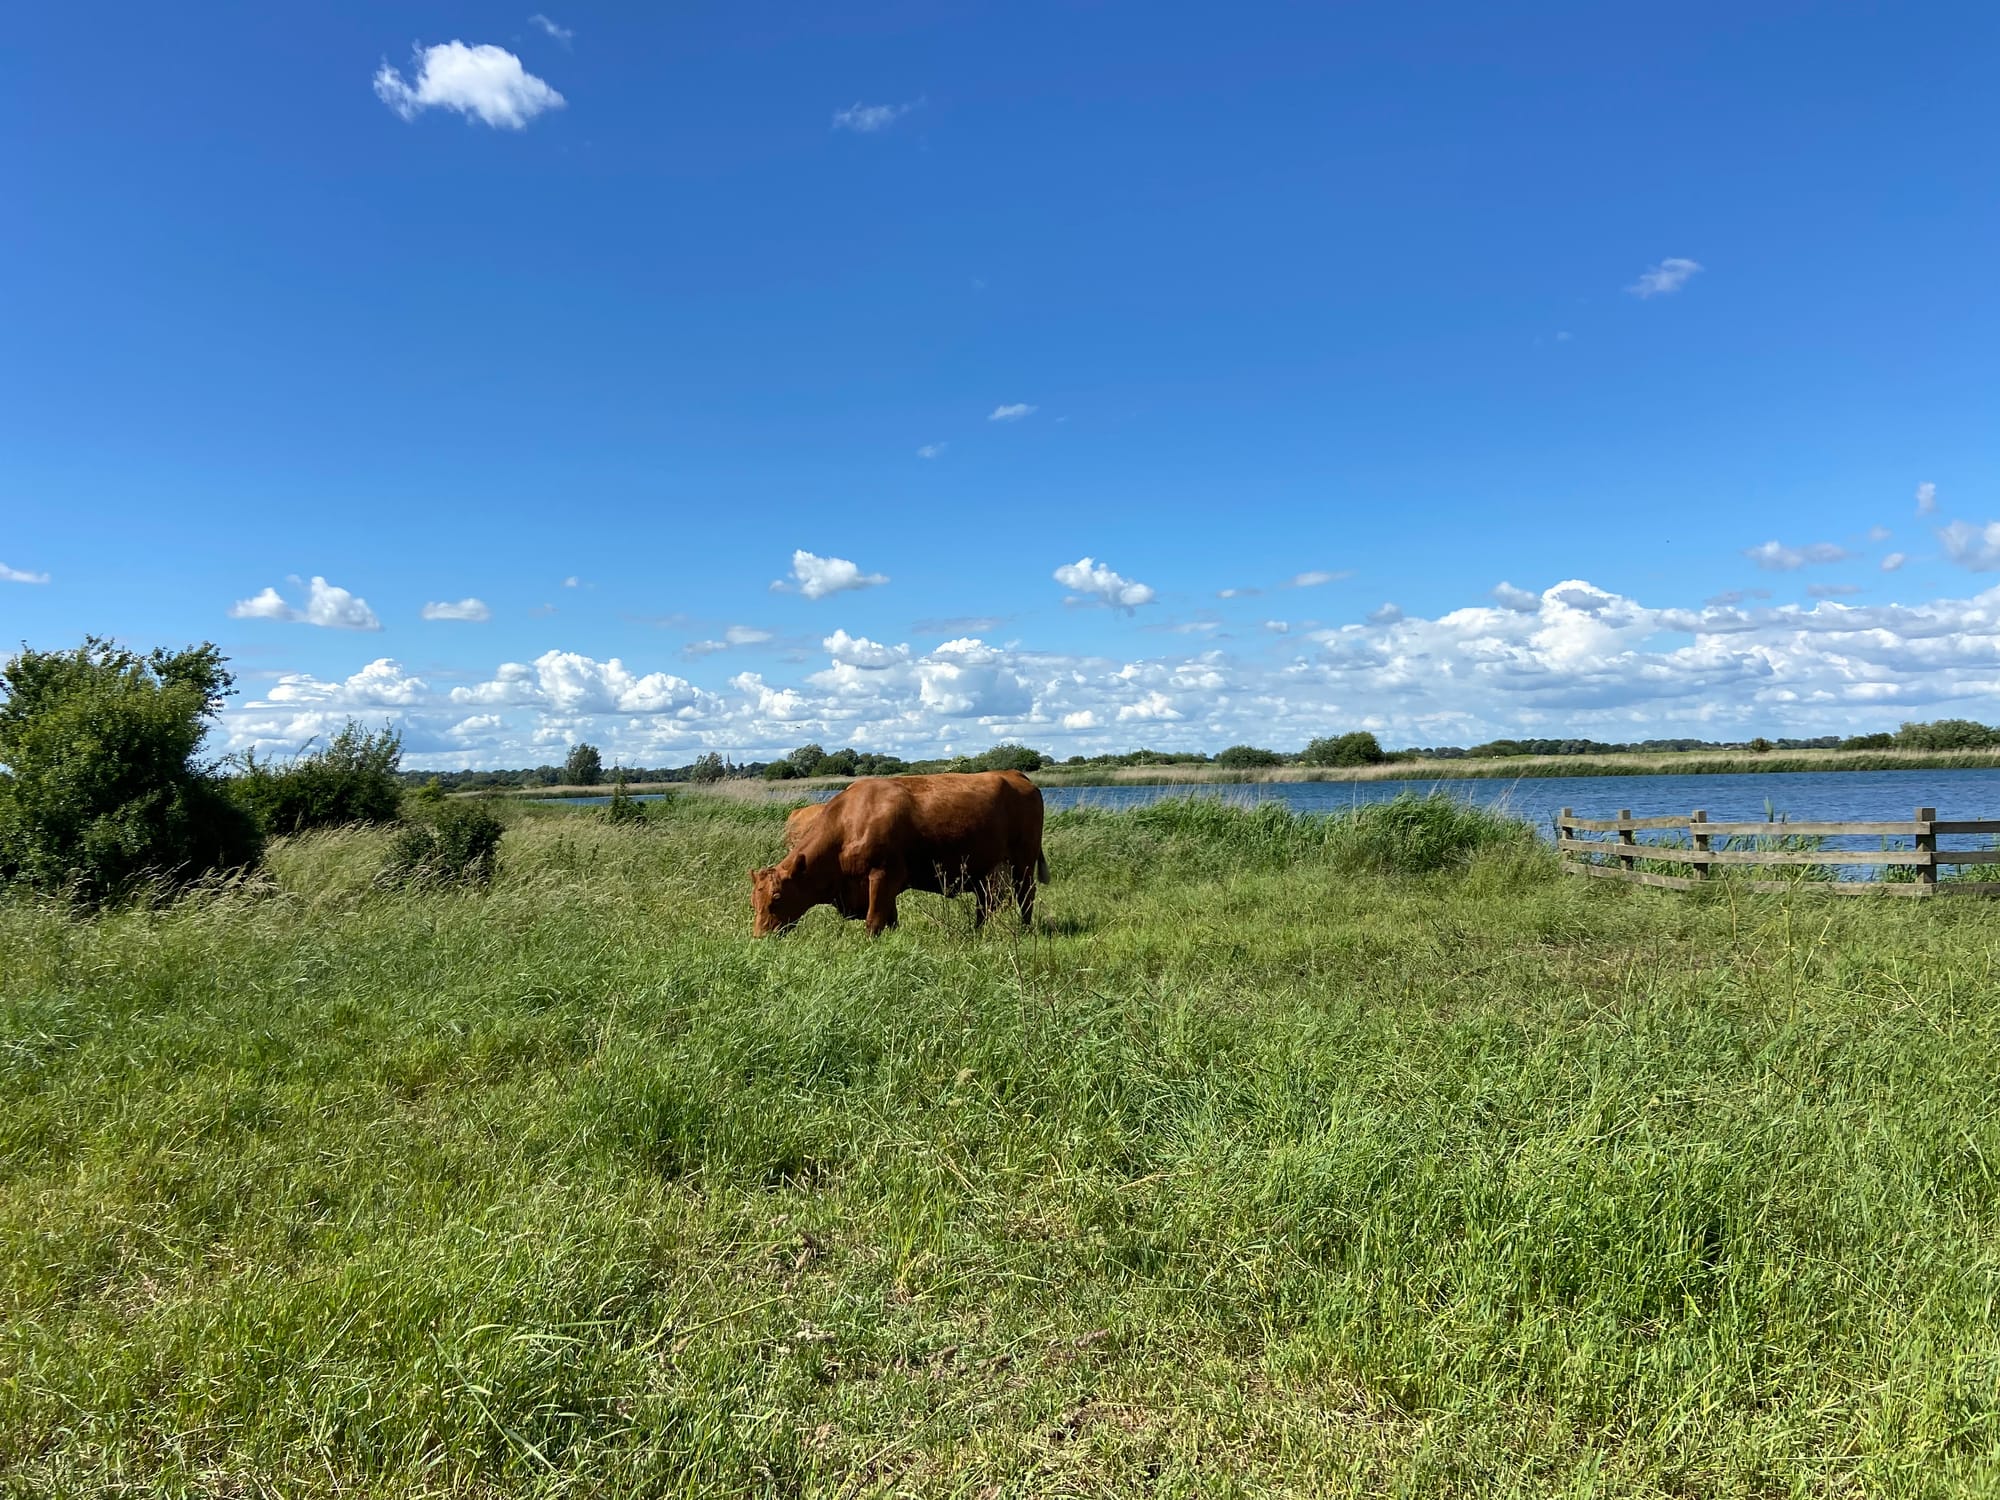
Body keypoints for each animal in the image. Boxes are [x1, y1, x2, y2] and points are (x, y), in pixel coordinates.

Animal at [752, 776, 1048, 940]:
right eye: (754, 900)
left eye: (777, 897)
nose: (759, 936)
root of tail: (1014, 775)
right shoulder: (885, 886)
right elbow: (890, 920)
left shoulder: (882, 875)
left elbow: (874, 921)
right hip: (986, 871)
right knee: (985, 904)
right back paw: (976, 932)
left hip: (1023, 862)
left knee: (1025, 897)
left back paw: (1024, 929)